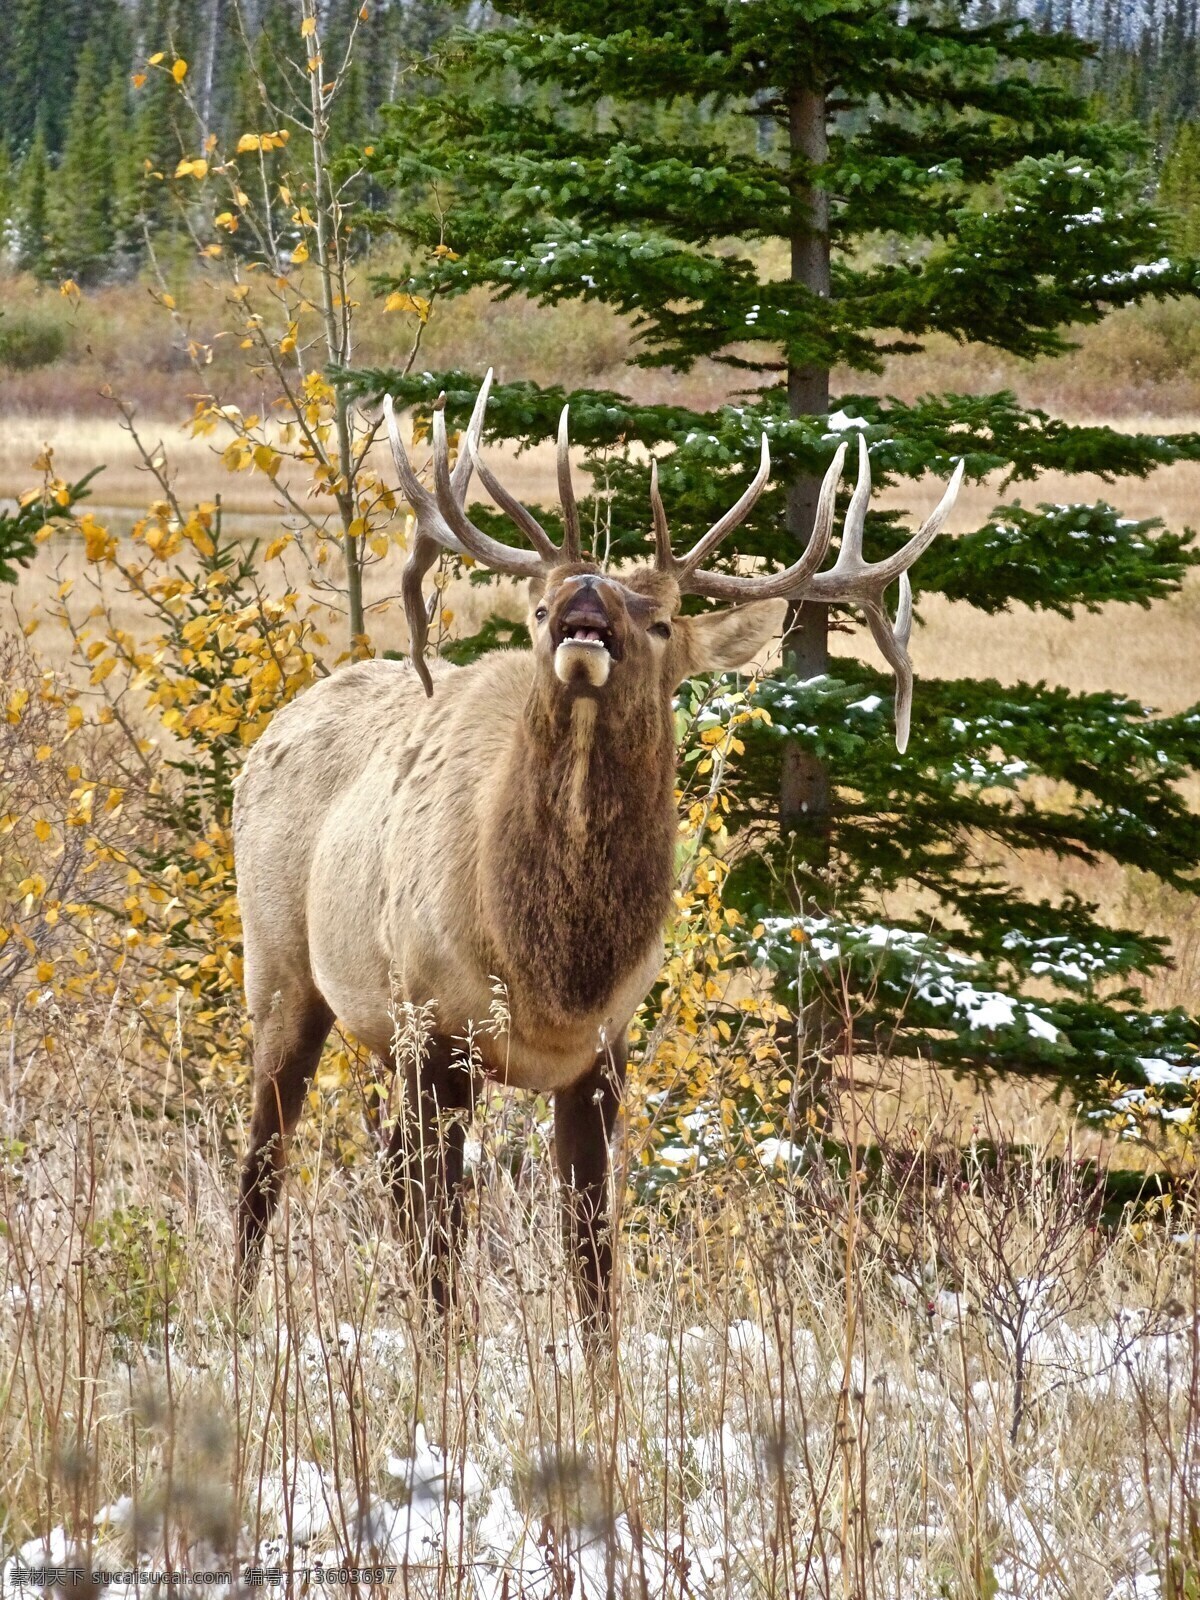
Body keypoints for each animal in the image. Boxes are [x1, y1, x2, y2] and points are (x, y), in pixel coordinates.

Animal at [235, 368, 966, 1331]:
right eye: (540, 606)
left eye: (661, 622)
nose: (584, 598)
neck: (549, 974)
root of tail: (272, 728)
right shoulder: (432, 1027)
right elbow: (444, 1240)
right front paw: (443, 1350)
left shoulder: (604, 1051)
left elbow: (591, 1254)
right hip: (282, 966)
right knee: (265, 1158)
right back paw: (234, 1312)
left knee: (380, 1165)